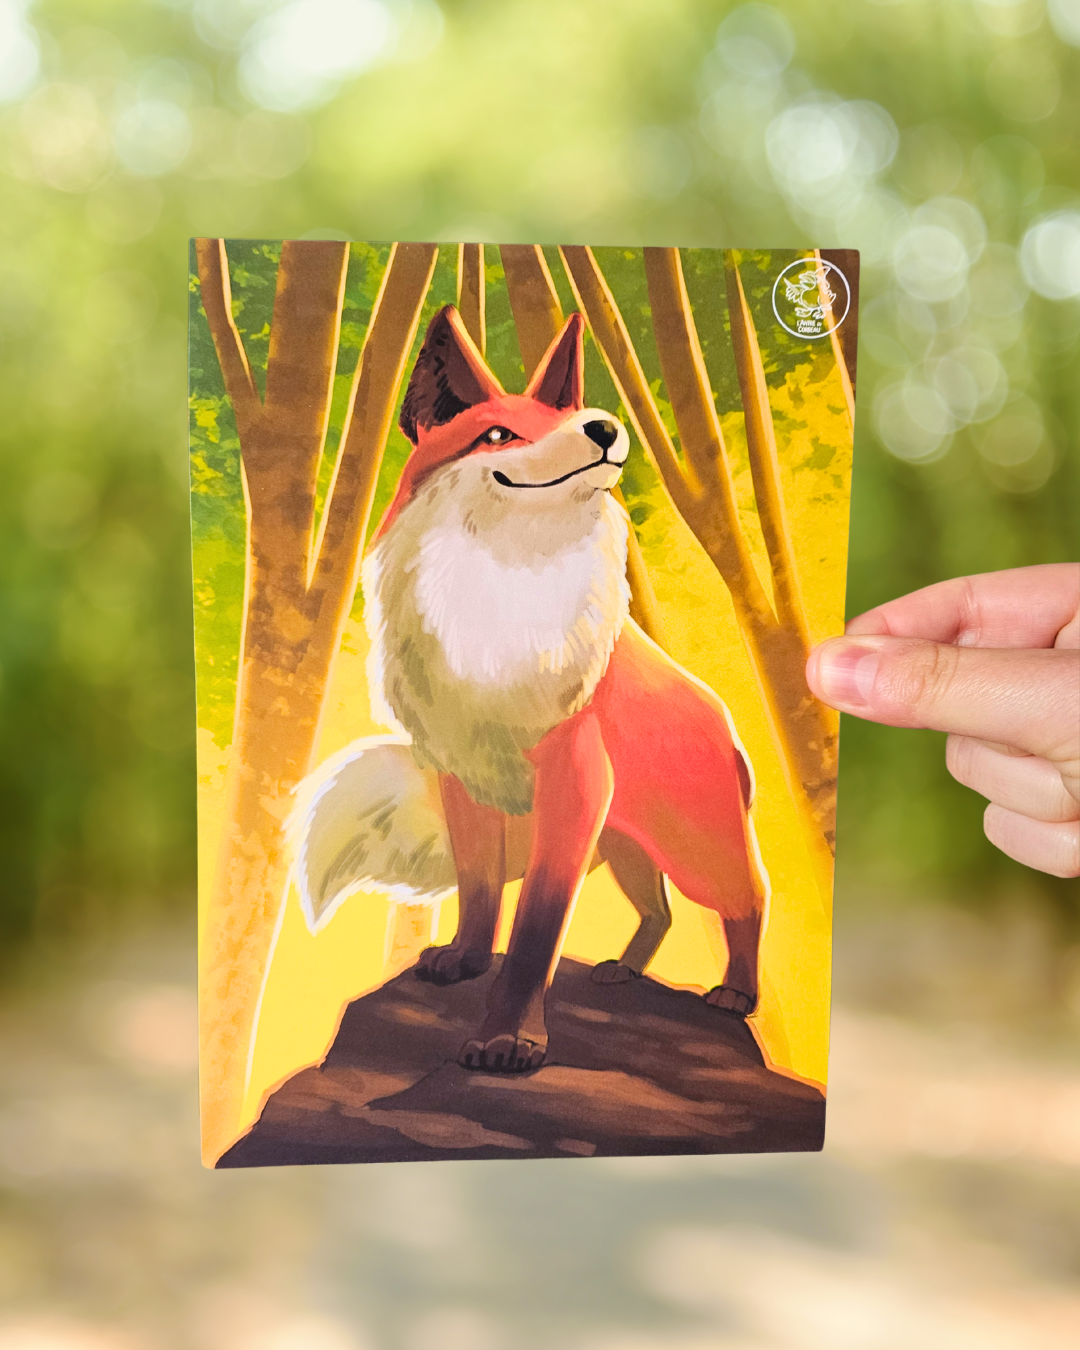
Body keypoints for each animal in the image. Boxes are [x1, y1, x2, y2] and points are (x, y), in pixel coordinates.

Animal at [291, 304, 770, 1073]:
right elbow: (480, 888)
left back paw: (736, 993)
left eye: (570, 416)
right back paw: (624, 968)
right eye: (498, 433)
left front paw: (509, 1040)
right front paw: (463, 960)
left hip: (697, 849)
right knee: (659, 911)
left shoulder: (570, 789)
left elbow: (534, 935)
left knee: (749, 900)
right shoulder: (464, 780)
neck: (502, 592)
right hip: (629, 846)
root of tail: (724, 718)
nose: (603, 427)